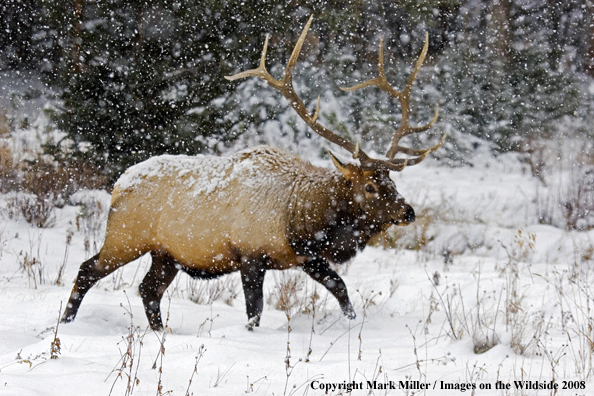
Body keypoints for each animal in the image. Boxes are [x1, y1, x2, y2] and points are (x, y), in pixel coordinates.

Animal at [62, 15, 442, 332]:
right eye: (370, 186)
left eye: (391, 181)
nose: (408, 212)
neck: (300, 219)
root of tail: (119, 183)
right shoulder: (251, 254)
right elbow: (254, 311)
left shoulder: (305, 257)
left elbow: (341, 289)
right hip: (125, 237)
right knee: (87, 270)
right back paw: (65, 324)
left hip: (166, 253)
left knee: (148, 289)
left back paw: (158, 333)